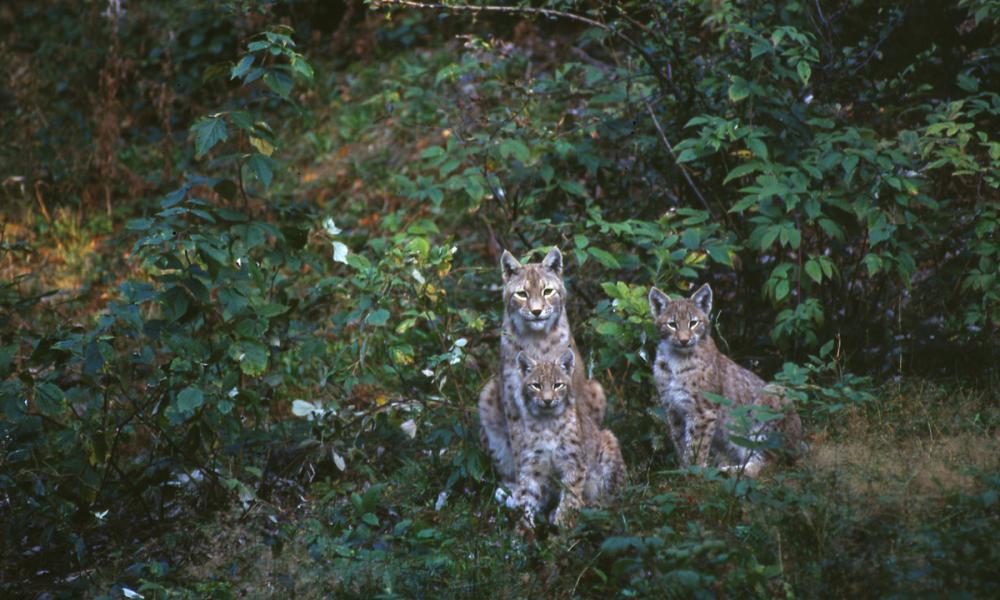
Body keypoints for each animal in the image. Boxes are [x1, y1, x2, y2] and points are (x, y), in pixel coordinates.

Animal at [648, 284, 804, 476]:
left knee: (768, 463)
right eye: (672, 325)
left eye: (693, 323)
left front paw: (694, 474)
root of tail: (799, 444)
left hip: (773, 393)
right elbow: (681, 443)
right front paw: (682, 472)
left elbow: (696, 447)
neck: (675, 358)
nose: (684, 340)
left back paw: (726, 472)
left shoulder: (702, 411)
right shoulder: (672, 409)